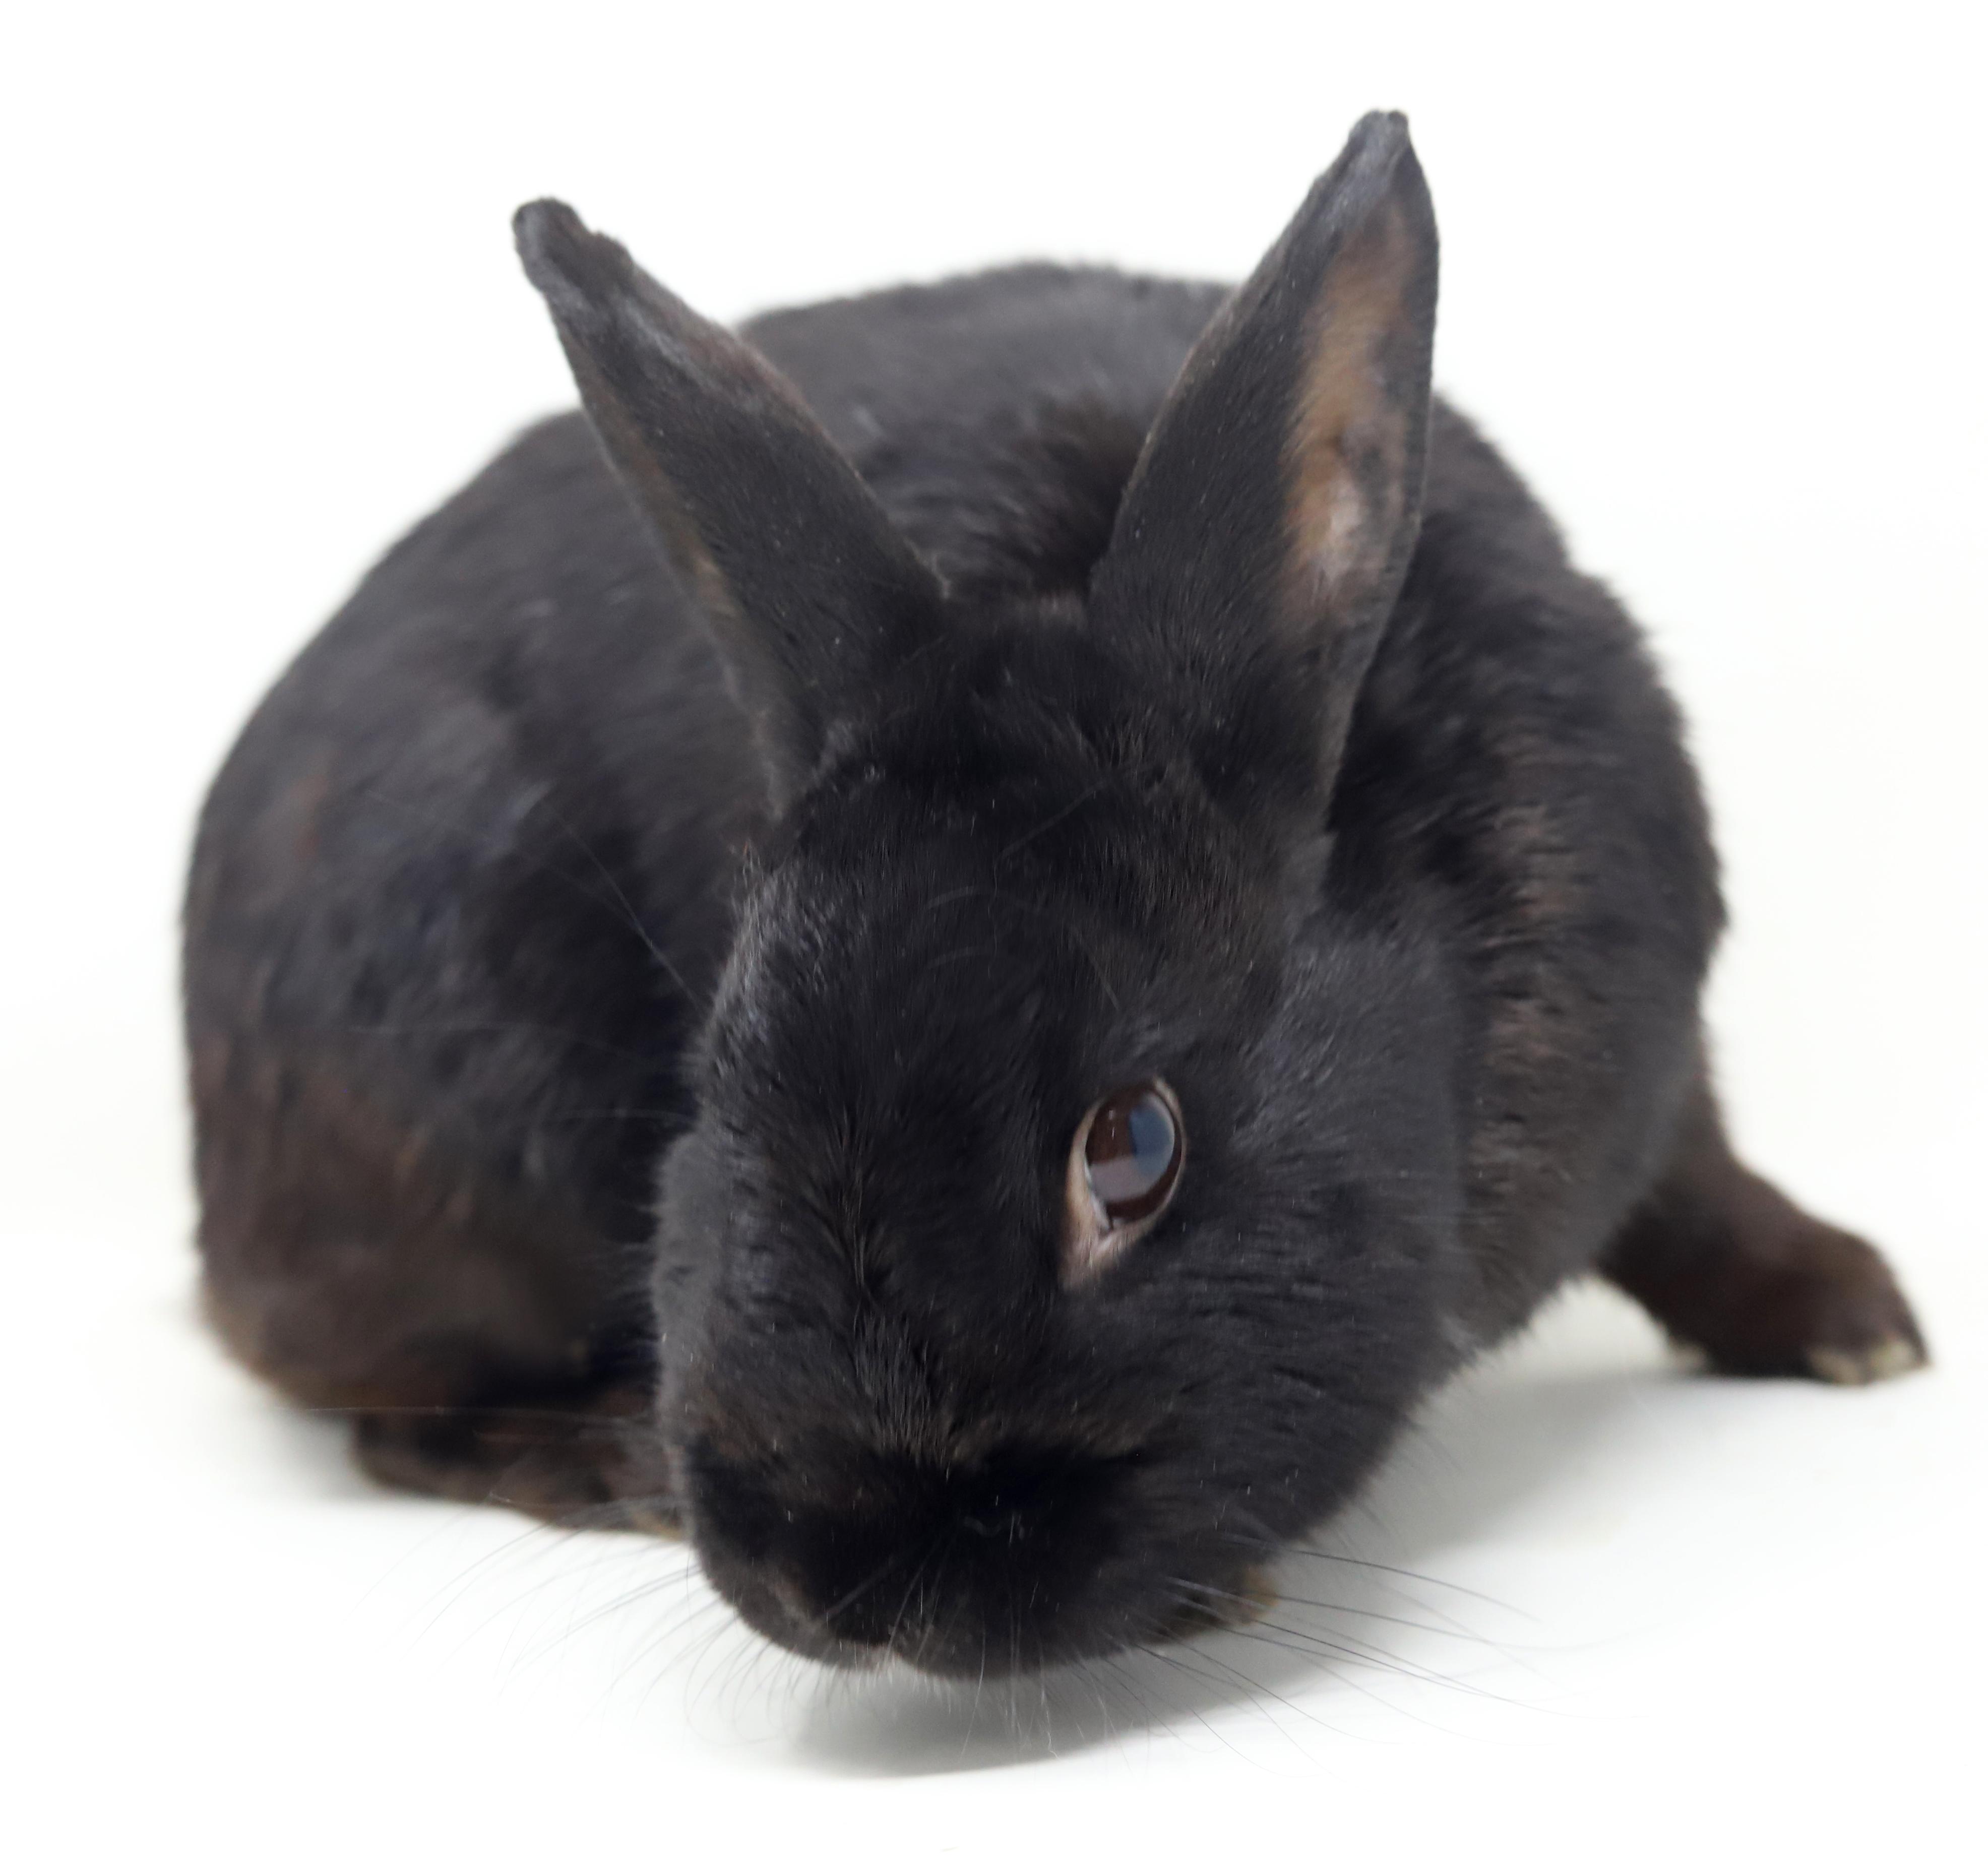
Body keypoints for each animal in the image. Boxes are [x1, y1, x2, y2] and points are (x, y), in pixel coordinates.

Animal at [183, 111, 1926, 1676]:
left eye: (1133, 1147)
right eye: (717, 1088)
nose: (838, 1583)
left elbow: (1698, 1185)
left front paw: (1855, 1320)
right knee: (388, 1417)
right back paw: (600, 1459)